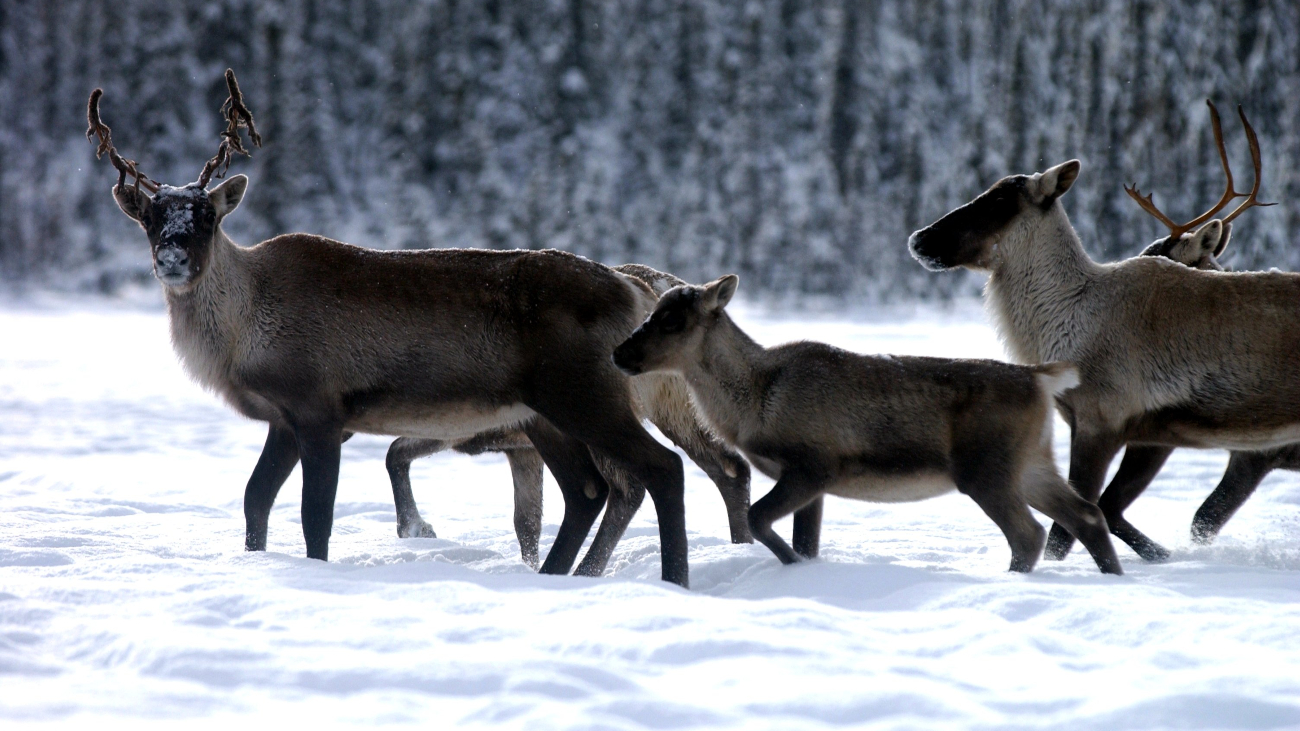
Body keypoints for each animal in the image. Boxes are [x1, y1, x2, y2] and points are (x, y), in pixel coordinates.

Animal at [613, 275, 1123, 572]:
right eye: (652, 311)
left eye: (673, 320)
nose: (620, 352)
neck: (754, 402)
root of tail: (1041, 378)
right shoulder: (811, 483)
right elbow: (804, 539)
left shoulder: (814, 465)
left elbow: (758, 518)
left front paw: (794, 567)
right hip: (1032, 461)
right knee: (1086, 514)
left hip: (986, 469)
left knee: (1030, 534)